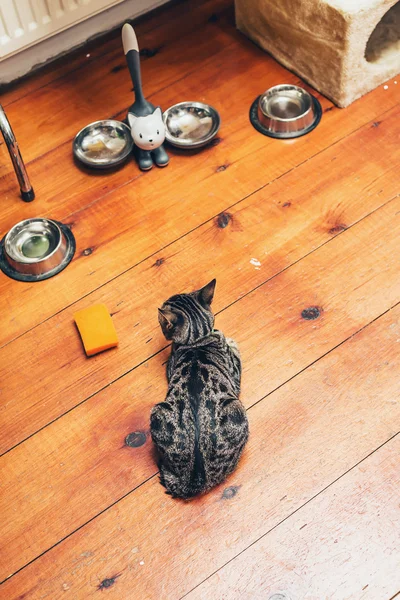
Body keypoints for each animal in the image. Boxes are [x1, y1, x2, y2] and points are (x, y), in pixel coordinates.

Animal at [151, 278, 248, 500]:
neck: (197, 340)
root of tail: (192, 482)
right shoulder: (235, 374)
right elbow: (233, 347)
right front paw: (229, 340)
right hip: (236, 409)